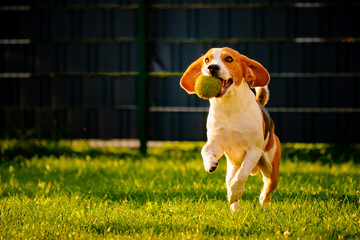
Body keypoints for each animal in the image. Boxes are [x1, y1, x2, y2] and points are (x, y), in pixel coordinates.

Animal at [180, 47, 282, 212]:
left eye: (228, 59)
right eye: (207, 60)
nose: (212, 68)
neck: (229, 106)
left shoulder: (253, 150)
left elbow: (242, 175)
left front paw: (235, 192)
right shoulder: (217, 143)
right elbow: (205, 150)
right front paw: (209, 163)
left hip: (271, 168)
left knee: (266, 188)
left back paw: (261, 204)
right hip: (232, 166)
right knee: (230, 179)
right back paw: (235, 209)